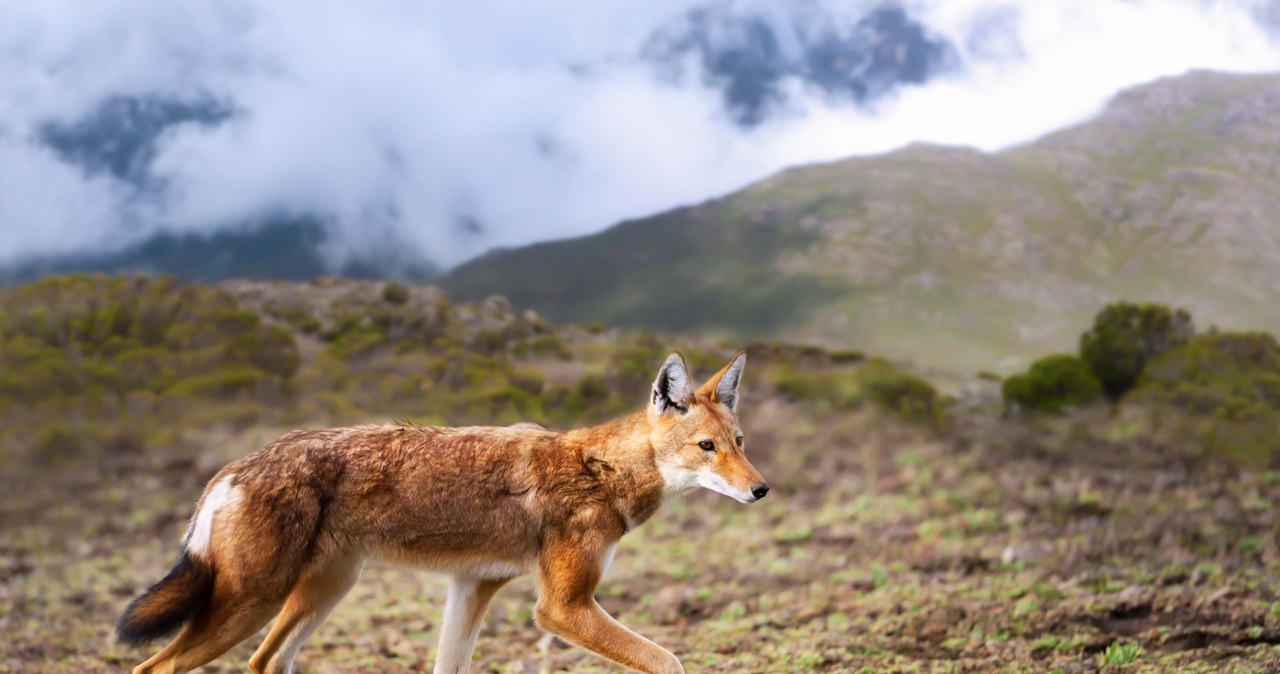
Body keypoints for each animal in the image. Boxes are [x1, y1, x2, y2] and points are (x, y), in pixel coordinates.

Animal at [117, 352, 768, 674]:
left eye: (740, 442)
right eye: (707, 447)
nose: (762, 490)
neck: (599, 470)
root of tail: (230, 468)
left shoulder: (471, 588)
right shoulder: (561, 607)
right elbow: (669, 660)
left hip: (319, 595)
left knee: (263, 661)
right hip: (251, 604)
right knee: (155, 669)